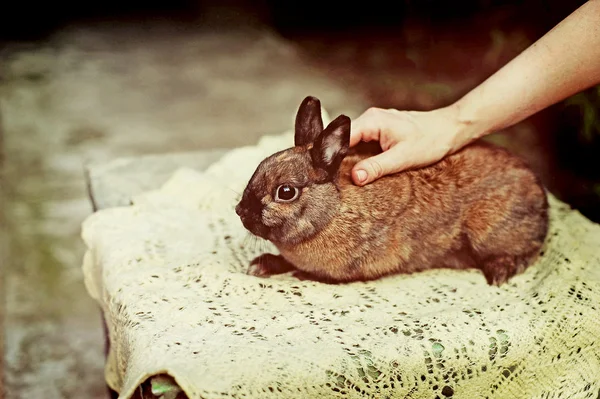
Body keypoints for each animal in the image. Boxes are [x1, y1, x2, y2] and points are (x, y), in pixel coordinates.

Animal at [234, 95, 548, 286]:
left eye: (286, 191)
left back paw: (499, 271)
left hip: (488, 232)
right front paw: (260, 265)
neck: (332, 212)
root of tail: (540, 194)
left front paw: (294, 273)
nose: (240, 211)